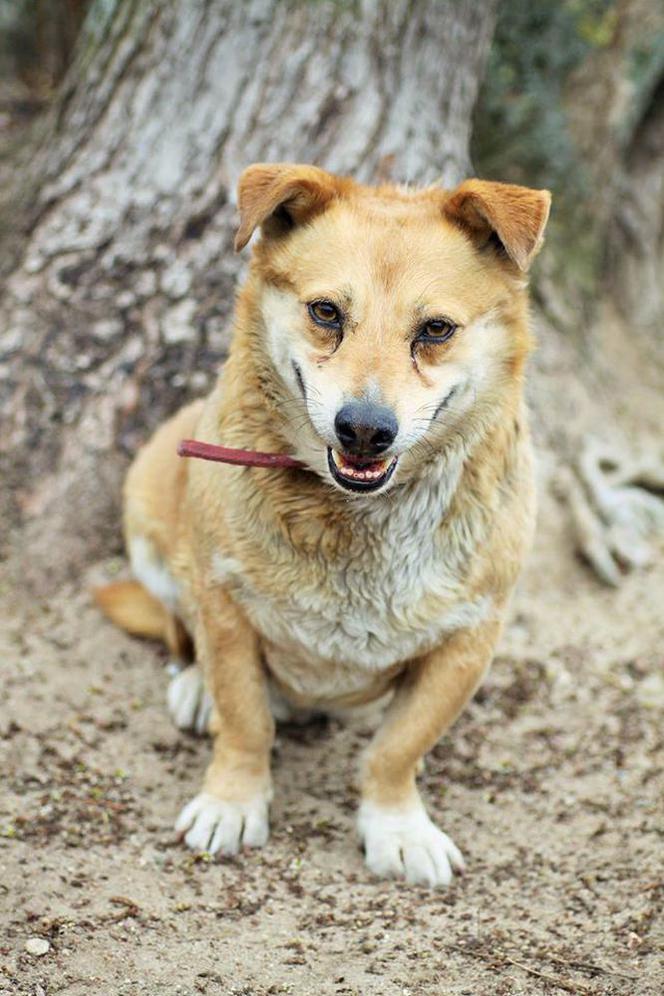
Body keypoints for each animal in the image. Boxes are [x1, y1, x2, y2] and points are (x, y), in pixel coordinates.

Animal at [94, 163, 548, 888]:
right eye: (326, 312)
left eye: (436, 329)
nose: (363, 428)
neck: (358, 514)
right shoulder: (225, 608)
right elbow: (245, 721)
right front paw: (233, 802)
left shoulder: (470, 641)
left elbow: (397, 749)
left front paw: (396, 826)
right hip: (150, 520)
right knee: (178, 629)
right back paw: (195, 688)